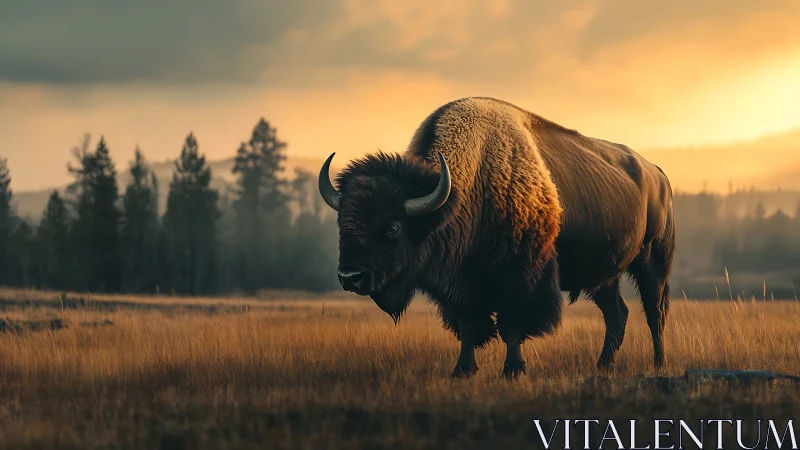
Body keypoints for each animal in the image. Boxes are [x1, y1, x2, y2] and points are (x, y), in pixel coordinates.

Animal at [318, 97, 675, 378]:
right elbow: (468, 328)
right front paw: (462, 371)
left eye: (393, 227)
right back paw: (602, 367)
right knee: (617, 315)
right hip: (604, 277)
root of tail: (657, 173)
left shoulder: (520, 279)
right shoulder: (456, 288)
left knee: (653, 313)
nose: (349, 276)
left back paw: (659, 364)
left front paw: (513, 370)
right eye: (342, 221)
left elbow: (511, 327)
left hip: (652, 263)